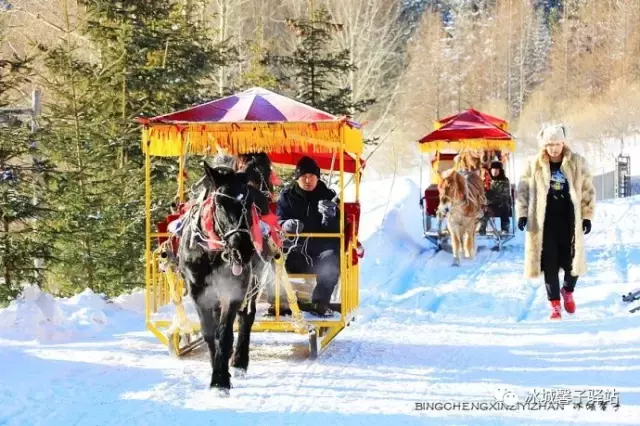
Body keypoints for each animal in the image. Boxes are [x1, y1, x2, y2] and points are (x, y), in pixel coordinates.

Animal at [178, 161, 272, 396]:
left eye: (249, 203)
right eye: (219, 204)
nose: (243, 249)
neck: (211, 252)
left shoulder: (235, 289)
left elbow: (225, 333)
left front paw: (221, 380)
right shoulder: (198, 290)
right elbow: (209, 333)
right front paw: (217, 370)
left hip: (255, 279)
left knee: (247, 316)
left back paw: (239, 361)